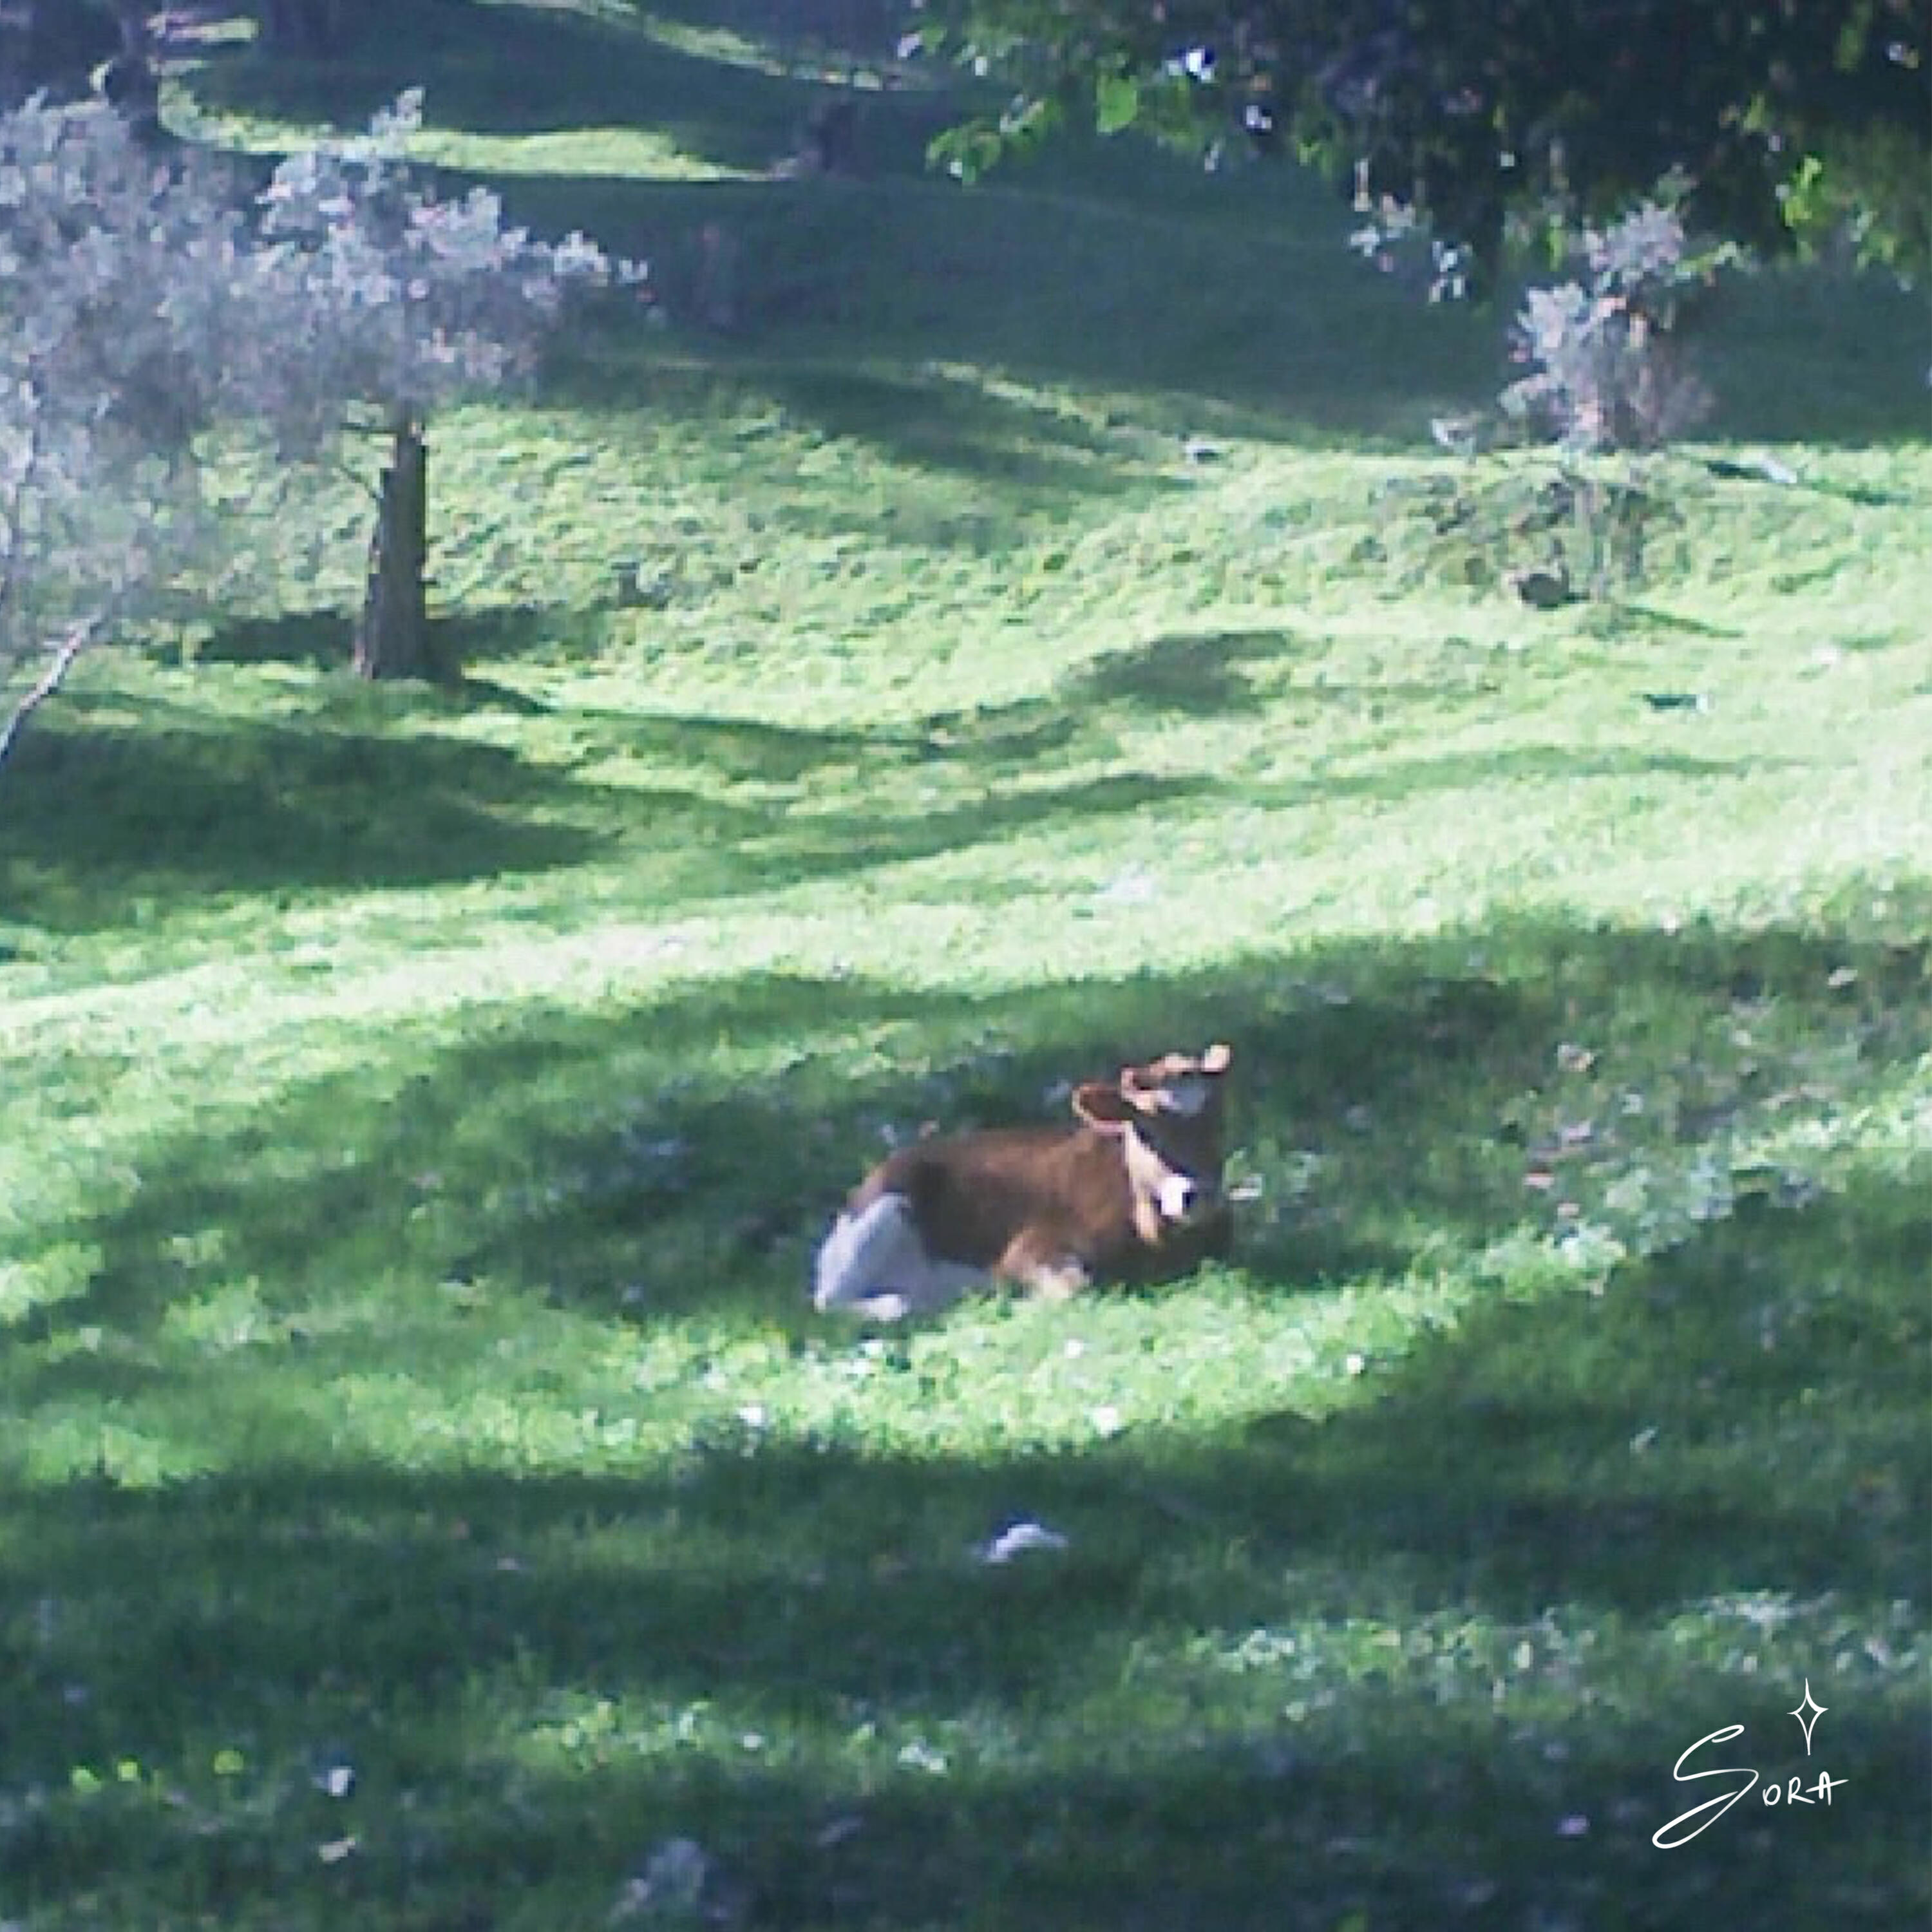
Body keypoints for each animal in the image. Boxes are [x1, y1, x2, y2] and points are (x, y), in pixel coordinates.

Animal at [812, 1044, 1235, 1318]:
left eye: (1218, 1123)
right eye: (1145, 1130)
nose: (1196, 1195)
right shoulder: (1030, 1247)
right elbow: (1074, 1287)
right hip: (883, 1213)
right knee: (833, 1300)